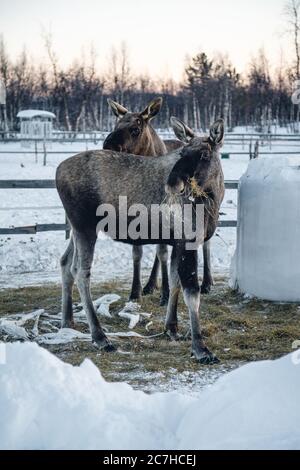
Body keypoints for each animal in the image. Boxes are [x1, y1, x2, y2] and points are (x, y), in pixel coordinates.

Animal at [56, 114, 225, 364]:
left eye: (204, 154)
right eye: (182, 153)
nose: (173, 184)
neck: (213, 199)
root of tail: (57, 171)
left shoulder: (177, 242)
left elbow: (174, 281)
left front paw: (171, 327)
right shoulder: (188, 240)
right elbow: (191, 293)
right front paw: (200, 348)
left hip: (77, 229)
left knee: (65, 262)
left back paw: (67, 320)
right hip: (85, 227)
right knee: (80, 271)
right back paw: (100, 336)